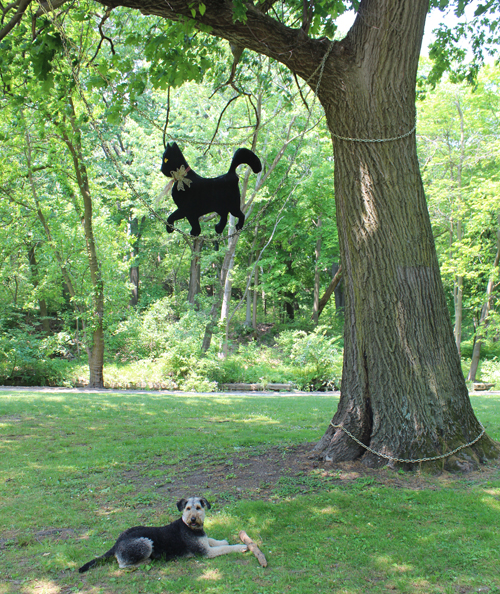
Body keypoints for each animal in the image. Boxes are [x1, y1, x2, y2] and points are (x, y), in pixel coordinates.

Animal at [77, 492, 246, 572]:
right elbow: (225, 549)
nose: (193, 519)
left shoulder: (204, 541)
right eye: (187, 508)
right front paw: (241, 546)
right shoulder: (206, 552)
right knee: (122, 565)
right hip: (145, 543)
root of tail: (116, 543)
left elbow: (213, 540)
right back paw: (145, 562)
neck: (190, 527)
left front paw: (223, 540)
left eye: (198, 508)